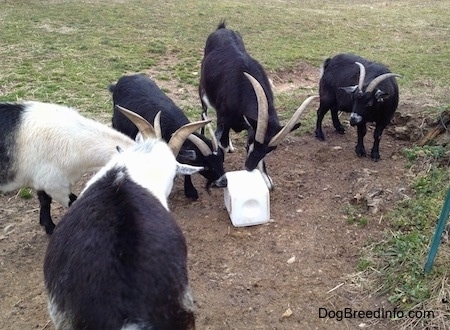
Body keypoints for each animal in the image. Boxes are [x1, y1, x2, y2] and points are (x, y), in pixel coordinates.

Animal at [199, 20, 318, 189]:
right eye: (250, 143)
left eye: (269, 150)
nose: (249, 166)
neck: (242, 85)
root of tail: (222, 28)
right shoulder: (223, 118)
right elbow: (220, 143)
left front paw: (266, 179)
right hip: (203, 90)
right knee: (203, 112)